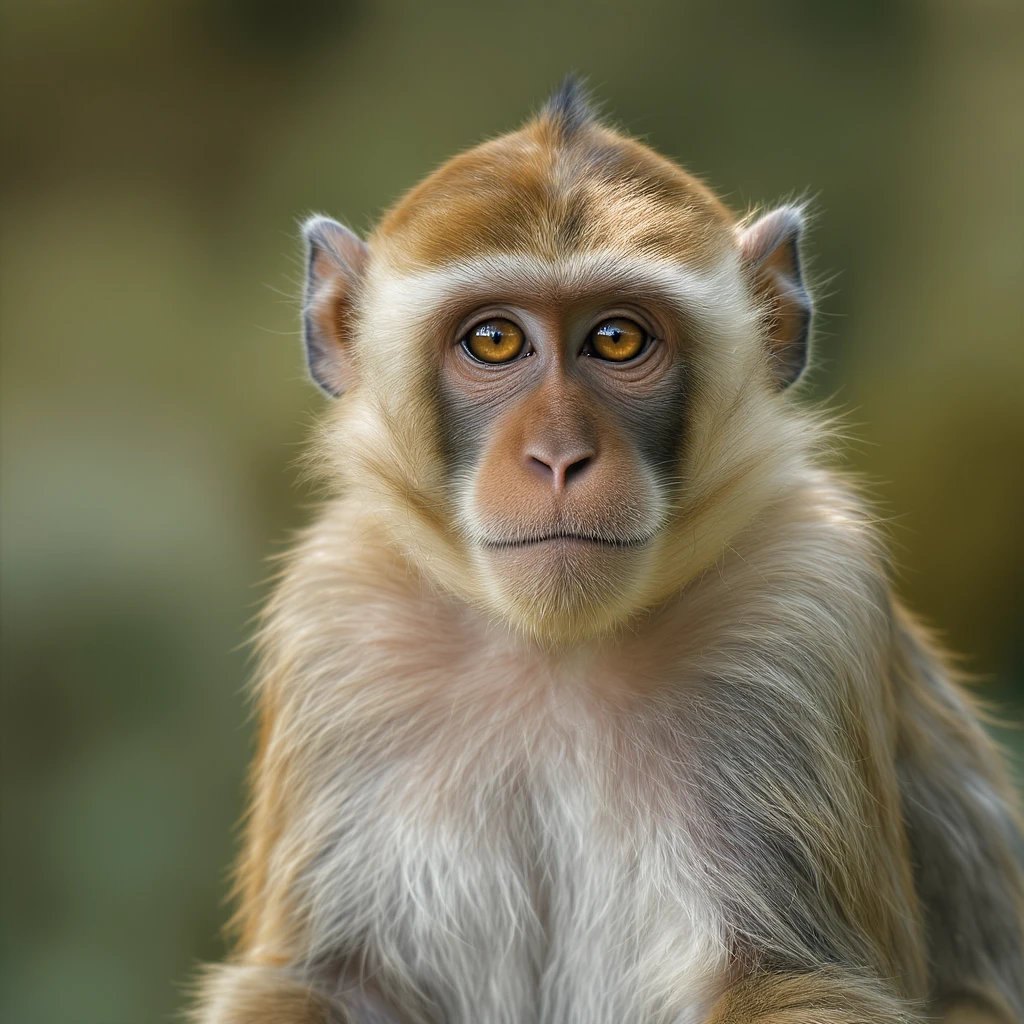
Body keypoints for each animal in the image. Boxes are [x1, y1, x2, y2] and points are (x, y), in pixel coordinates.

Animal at [190, 79, 1024, 1024]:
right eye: (494, 340)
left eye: (618, 339)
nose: (558, 457)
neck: (558, 652)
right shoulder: (337, 623)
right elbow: (330, 982)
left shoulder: (805, 607)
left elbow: (787, 977)